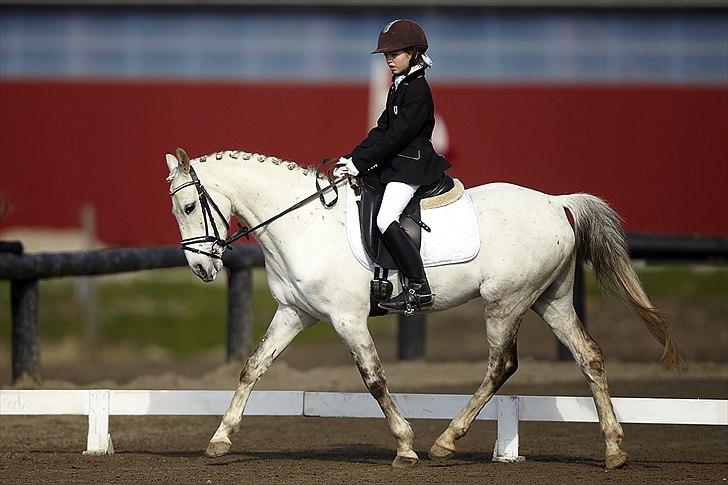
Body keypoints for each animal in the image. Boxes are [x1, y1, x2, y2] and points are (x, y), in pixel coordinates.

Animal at [165, 147, 684, 468]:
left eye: (189, 207)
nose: (201, 268)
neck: (304, 222)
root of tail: (558, 204)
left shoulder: (346, 318)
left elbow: (374, 379)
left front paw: (405, 446)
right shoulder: (296, 313)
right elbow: (252, 368)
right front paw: (219, 439)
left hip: (505, 302)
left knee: (501, 365)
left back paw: (444, 442)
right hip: (549, 300)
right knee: (589, 356)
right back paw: (614, 450)